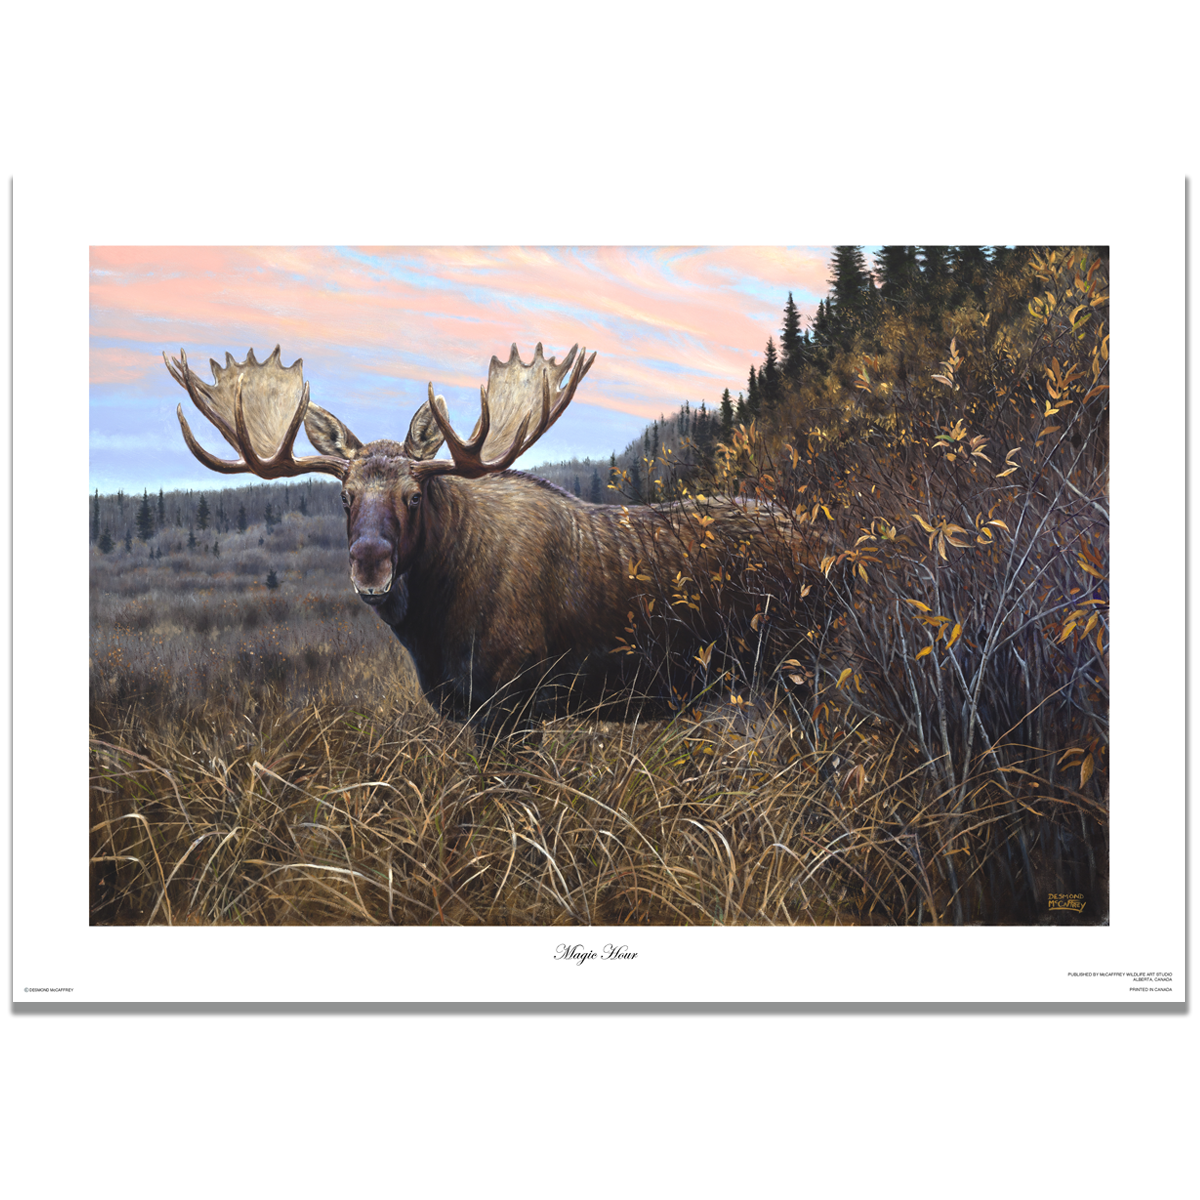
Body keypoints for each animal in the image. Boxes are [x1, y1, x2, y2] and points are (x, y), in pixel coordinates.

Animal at [164, 342, 839, 741]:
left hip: (802, 663)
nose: (370, 565)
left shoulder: (516, 702)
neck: (433, 629)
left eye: (414, 495)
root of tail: (826, 539)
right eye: (344, 496)